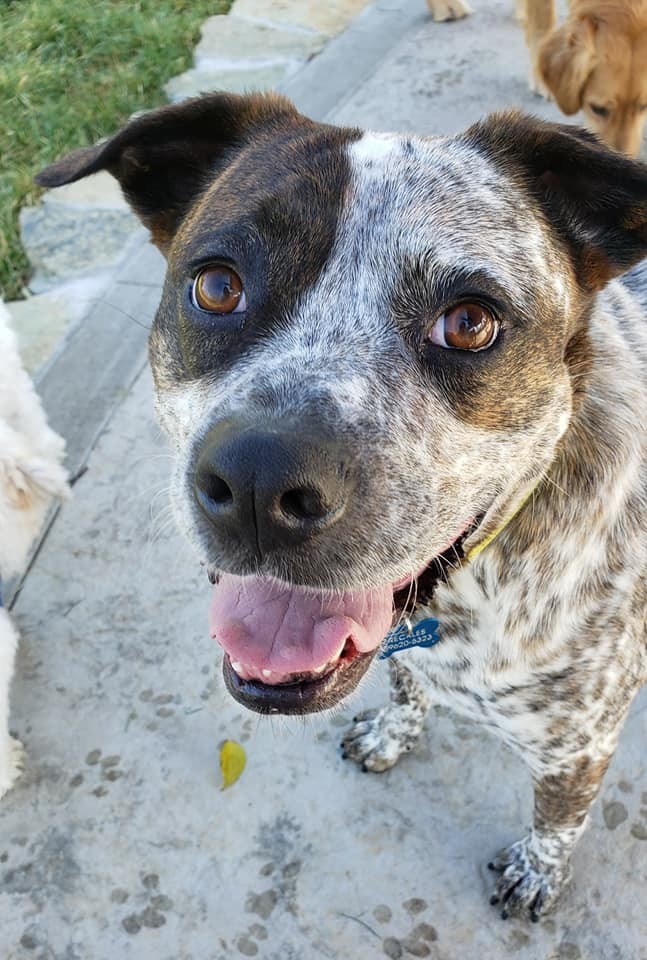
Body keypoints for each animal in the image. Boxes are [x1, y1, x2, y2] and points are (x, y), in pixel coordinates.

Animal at [39, 95, 647, 924]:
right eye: (217, 286)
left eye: (470, 322)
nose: (259, 484)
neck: (470, 594)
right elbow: (404, 687)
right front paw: (392, 733)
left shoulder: (576, 746)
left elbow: (557, 821)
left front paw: (535, 873)